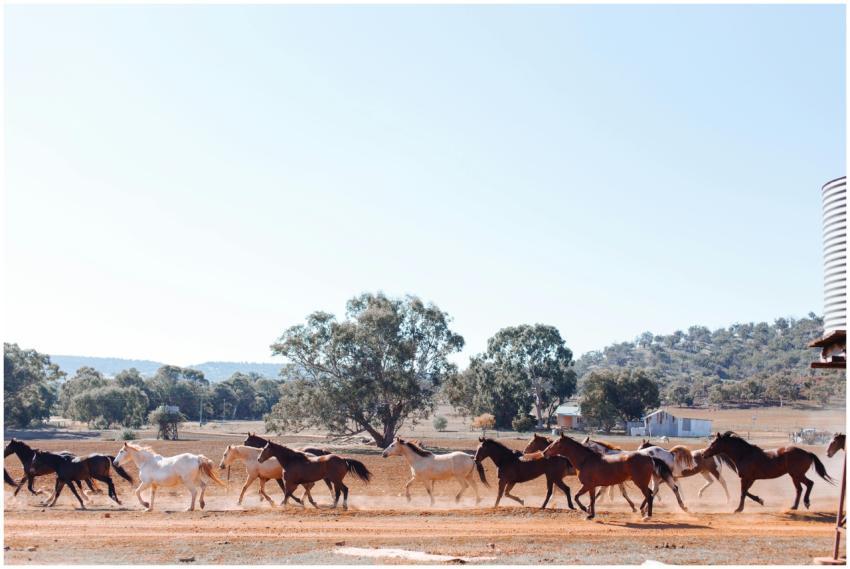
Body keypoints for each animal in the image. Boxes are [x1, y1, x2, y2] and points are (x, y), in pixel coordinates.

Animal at [535, 433, 675, 519]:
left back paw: (647, 515)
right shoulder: (591, 486)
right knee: (650, 493)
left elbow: (576, 496)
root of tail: (649, 457)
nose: (544, 452)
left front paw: (584, 509)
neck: (585, 460)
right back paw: (643, 511)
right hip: (642, 482)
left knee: (649, 495)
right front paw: (590, 514)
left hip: (640, 482)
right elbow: (592, 499)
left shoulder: (587, 485)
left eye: (557, 443)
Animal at [702, 431, 834, 512]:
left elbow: (743, 492)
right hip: (795, 476)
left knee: (809, 484)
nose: (703, 454)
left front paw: (739, 509)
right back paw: (794, 507)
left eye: (713, 443)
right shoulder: (750, 479)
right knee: (800, 489)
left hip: (796, 475)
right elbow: (746, 492)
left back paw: (805, 503)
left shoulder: (747, 478)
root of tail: (807, 453)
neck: (744, 454)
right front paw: (760, 500)